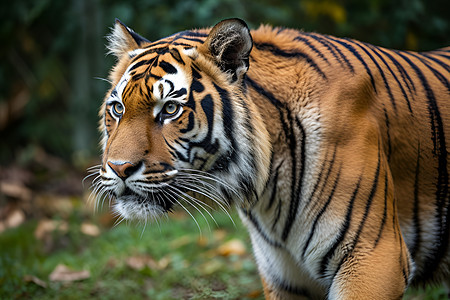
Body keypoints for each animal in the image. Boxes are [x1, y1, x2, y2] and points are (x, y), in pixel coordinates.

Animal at [96, 17, 450, 298]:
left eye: (170, 109)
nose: (119, 168)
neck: (267, 189)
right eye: (118, 108)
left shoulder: (374, 258)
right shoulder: (285, 276)